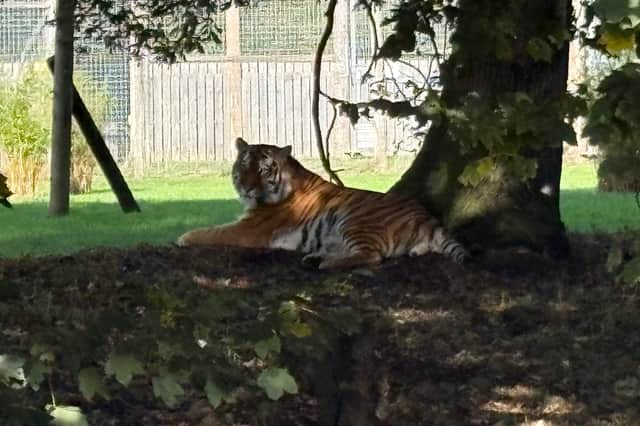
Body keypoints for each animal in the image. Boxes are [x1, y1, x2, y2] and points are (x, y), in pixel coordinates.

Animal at [176, 137, 468, 270]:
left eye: (262, 170)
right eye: (244, 165)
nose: (245, 187)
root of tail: (426, 216)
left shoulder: (249, 229)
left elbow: (213, 232)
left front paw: (184, 237)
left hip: (353, 220)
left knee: (372, 255)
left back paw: (325, 263)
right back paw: (316, 256)